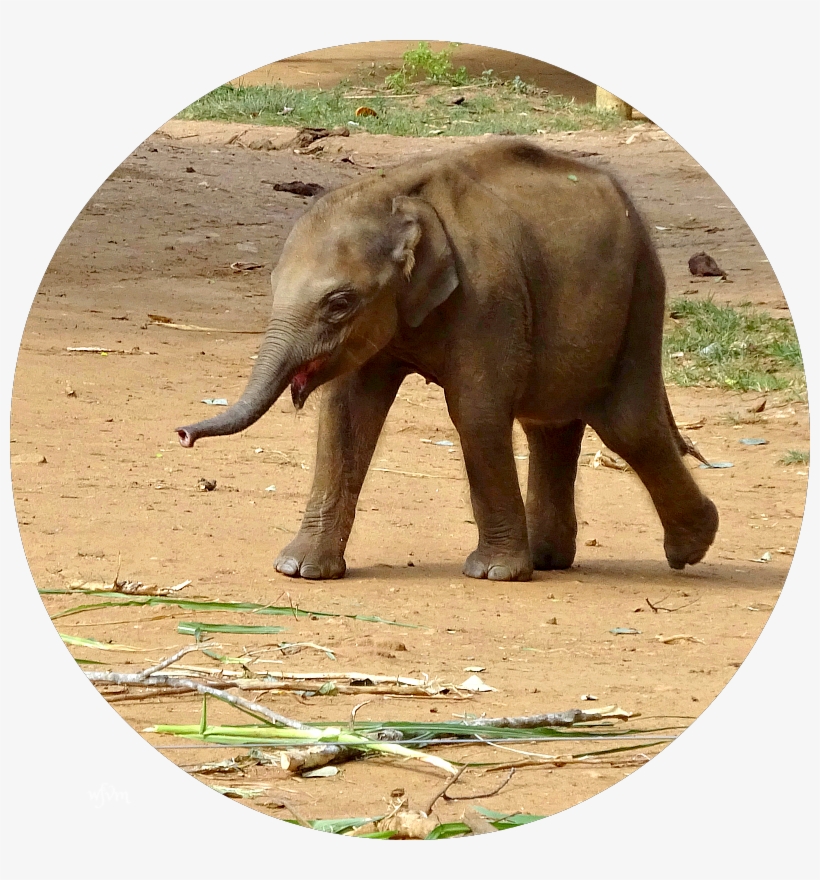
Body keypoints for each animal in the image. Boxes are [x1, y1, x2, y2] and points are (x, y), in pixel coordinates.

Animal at [177, 139, 718, 582]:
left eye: (340, 303)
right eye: (272, 285)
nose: (182, 434)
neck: (397, 195)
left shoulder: (490, 295)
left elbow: (475, 412)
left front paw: (494, 573)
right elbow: (346, 416)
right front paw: (300, 570)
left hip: (642, 292)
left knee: (628, 425)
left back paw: (690, 548)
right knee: (551, 423)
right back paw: (549, 559)